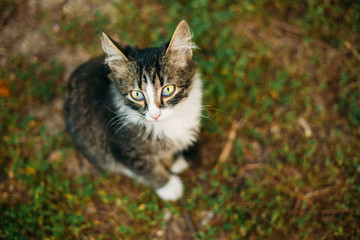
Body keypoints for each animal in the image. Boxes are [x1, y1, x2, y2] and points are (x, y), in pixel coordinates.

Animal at [65, 21, 202, 201]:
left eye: (168, 90)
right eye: (137, 94)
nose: (155, 115)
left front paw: (175, 161)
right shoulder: (124, 148)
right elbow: (148, 168)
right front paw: (170, 187)